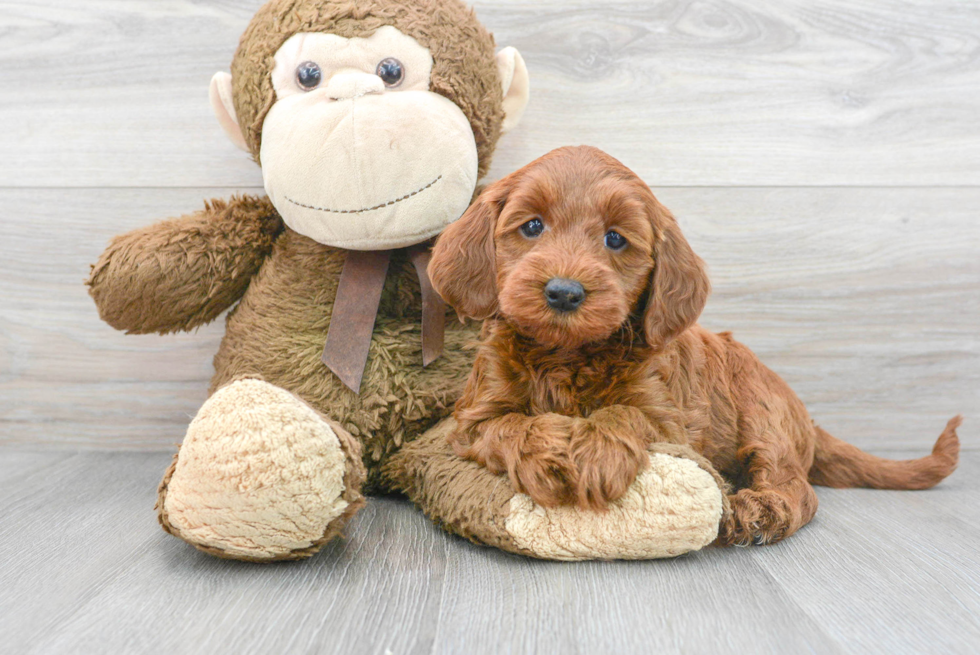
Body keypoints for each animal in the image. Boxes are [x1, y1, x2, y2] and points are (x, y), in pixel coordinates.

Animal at [426, 146, 956, 544]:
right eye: (532, 226)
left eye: (615, 239)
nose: (564, 292)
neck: (566, 354)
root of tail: (806, 419)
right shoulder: (473, 418)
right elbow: (511, 426)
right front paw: (550, 453)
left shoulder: (666, 416)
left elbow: (627, 413)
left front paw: (597, 451)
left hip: (763, 413)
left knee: (796, 486)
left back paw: (761, 510)